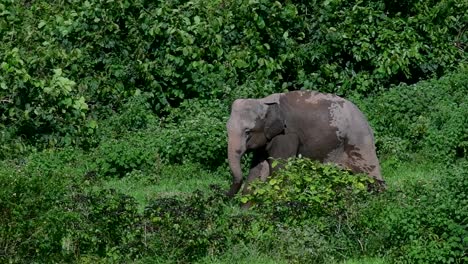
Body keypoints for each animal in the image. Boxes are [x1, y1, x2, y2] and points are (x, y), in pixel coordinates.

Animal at [226, 89, 384, 197]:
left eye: (247, 132)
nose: (224, 195)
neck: (264, 101)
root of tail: (366, 120)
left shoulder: (286, 135)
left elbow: (280, 170)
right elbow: (257, 170)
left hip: (359, 141)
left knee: (371, 174)